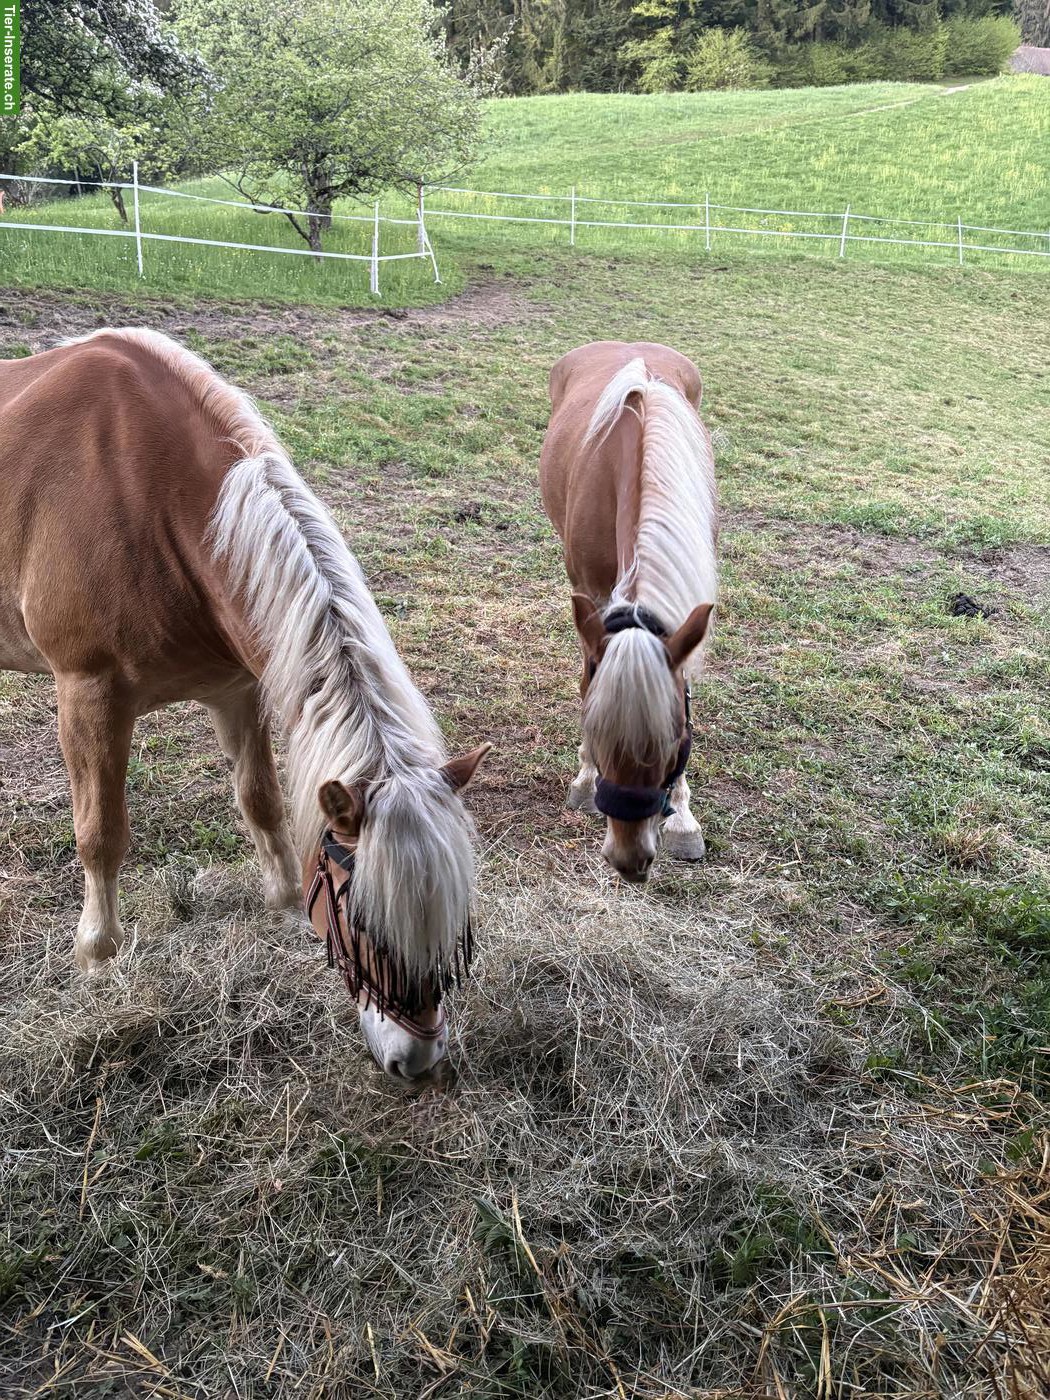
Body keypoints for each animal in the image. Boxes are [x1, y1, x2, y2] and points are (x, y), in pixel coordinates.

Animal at [0, 328, 490, 1080]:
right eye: (361, 918)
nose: (417, 1060)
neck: (147, 496)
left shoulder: (236, 688)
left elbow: (262, 803)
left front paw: (283, 908)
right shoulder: (88, 691)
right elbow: (100, 834)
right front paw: (97, 958)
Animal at [539, 341, 718, 882]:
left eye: (675, 741)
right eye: (596, 734)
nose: (629, 859)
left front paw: (683, 818)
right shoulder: (590, 597)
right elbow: (586, 680)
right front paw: (582, 780)